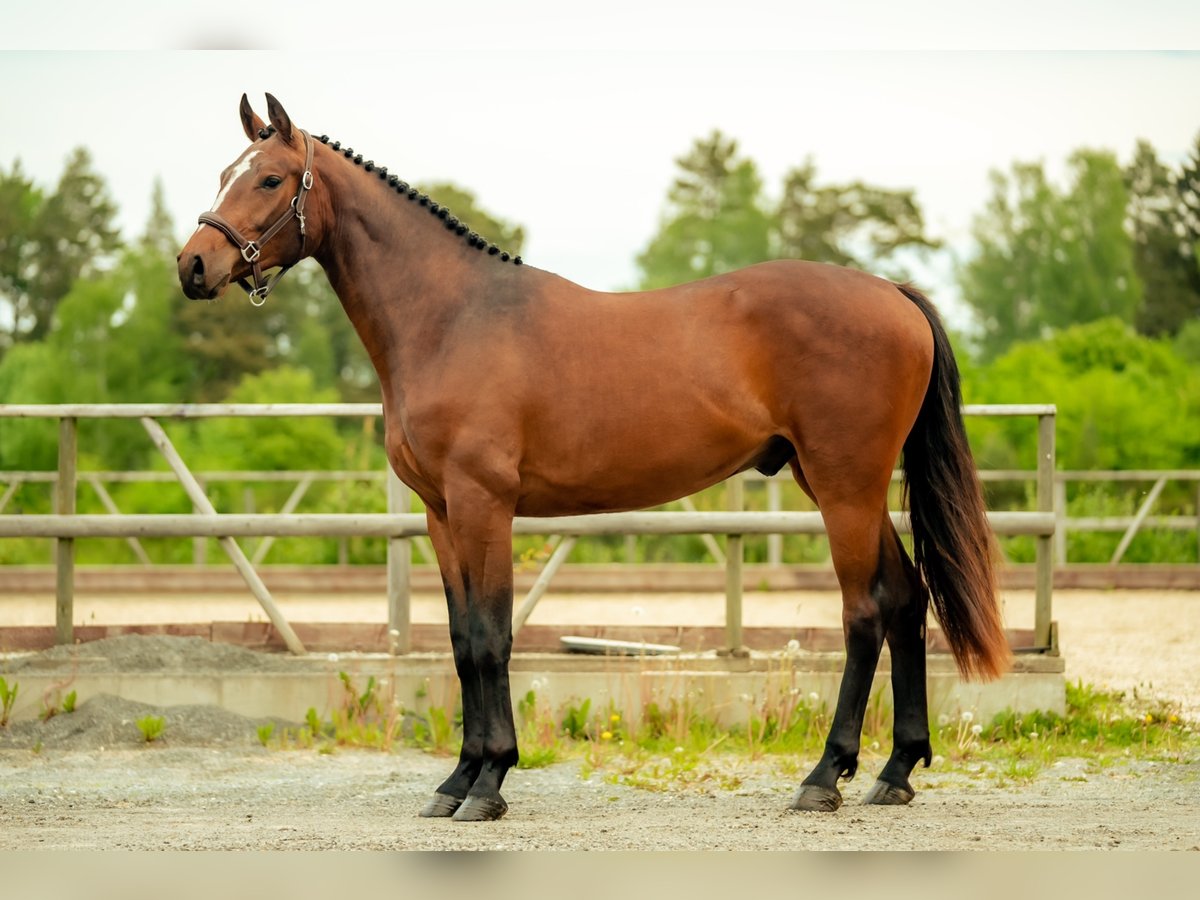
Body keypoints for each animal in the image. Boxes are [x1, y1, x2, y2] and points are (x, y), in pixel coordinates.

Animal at [175, 93, 1003, 825]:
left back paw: (824, 777)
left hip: (844, 486)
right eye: (222, 171)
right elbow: (461, 642)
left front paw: (489, 784)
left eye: (269, 178)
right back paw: (895, 772)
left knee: (865, 612)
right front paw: (455, 781)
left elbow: (492, 638)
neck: (451, 318)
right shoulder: (441, 514)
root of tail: (893, 294)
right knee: (907, 598)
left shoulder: (483, 506)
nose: (192, 265)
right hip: (839, 485)